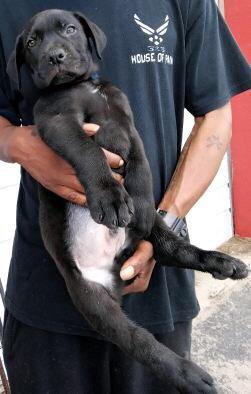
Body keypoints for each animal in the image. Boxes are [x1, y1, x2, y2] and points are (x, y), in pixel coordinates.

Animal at [7, 10, 247, 394]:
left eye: (69, 29)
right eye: (31, 42)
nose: (55, 57)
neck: (82, 86)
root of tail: (115, 268)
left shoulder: (125, 117)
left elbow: (139, 158)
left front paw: (140, 200)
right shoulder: (59, 122)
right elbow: (89, 150)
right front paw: (110, 196)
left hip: (156, 239)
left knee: (179, 251)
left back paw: (224, 263)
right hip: (93, 302)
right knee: (143, 344)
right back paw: (189, 375)